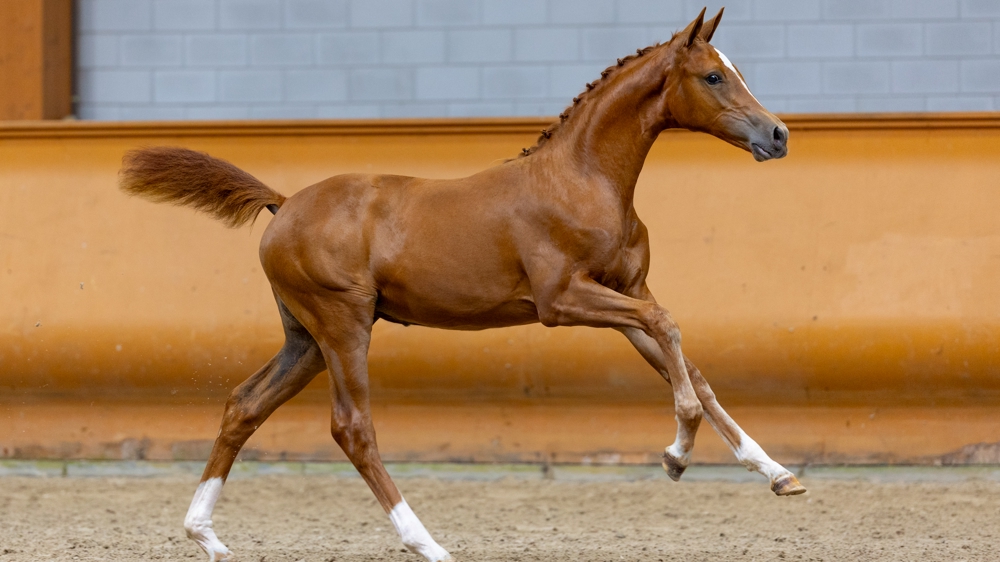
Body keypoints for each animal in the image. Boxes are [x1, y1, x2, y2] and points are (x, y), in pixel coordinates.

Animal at [119, 8, 804, 560]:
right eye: (713, 76)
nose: (777, 135)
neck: (582, 180)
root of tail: (284, 204)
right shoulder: (564, 300)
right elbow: (672, 339)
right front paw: (677, 454)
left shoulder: (628, 293)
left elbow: (689, 365)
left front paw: (775, 473)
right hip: (341, 325)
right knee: (352, 427)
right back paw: (427, 543)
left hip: (306, 339)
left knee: (244, 405)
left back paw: (205, 535)